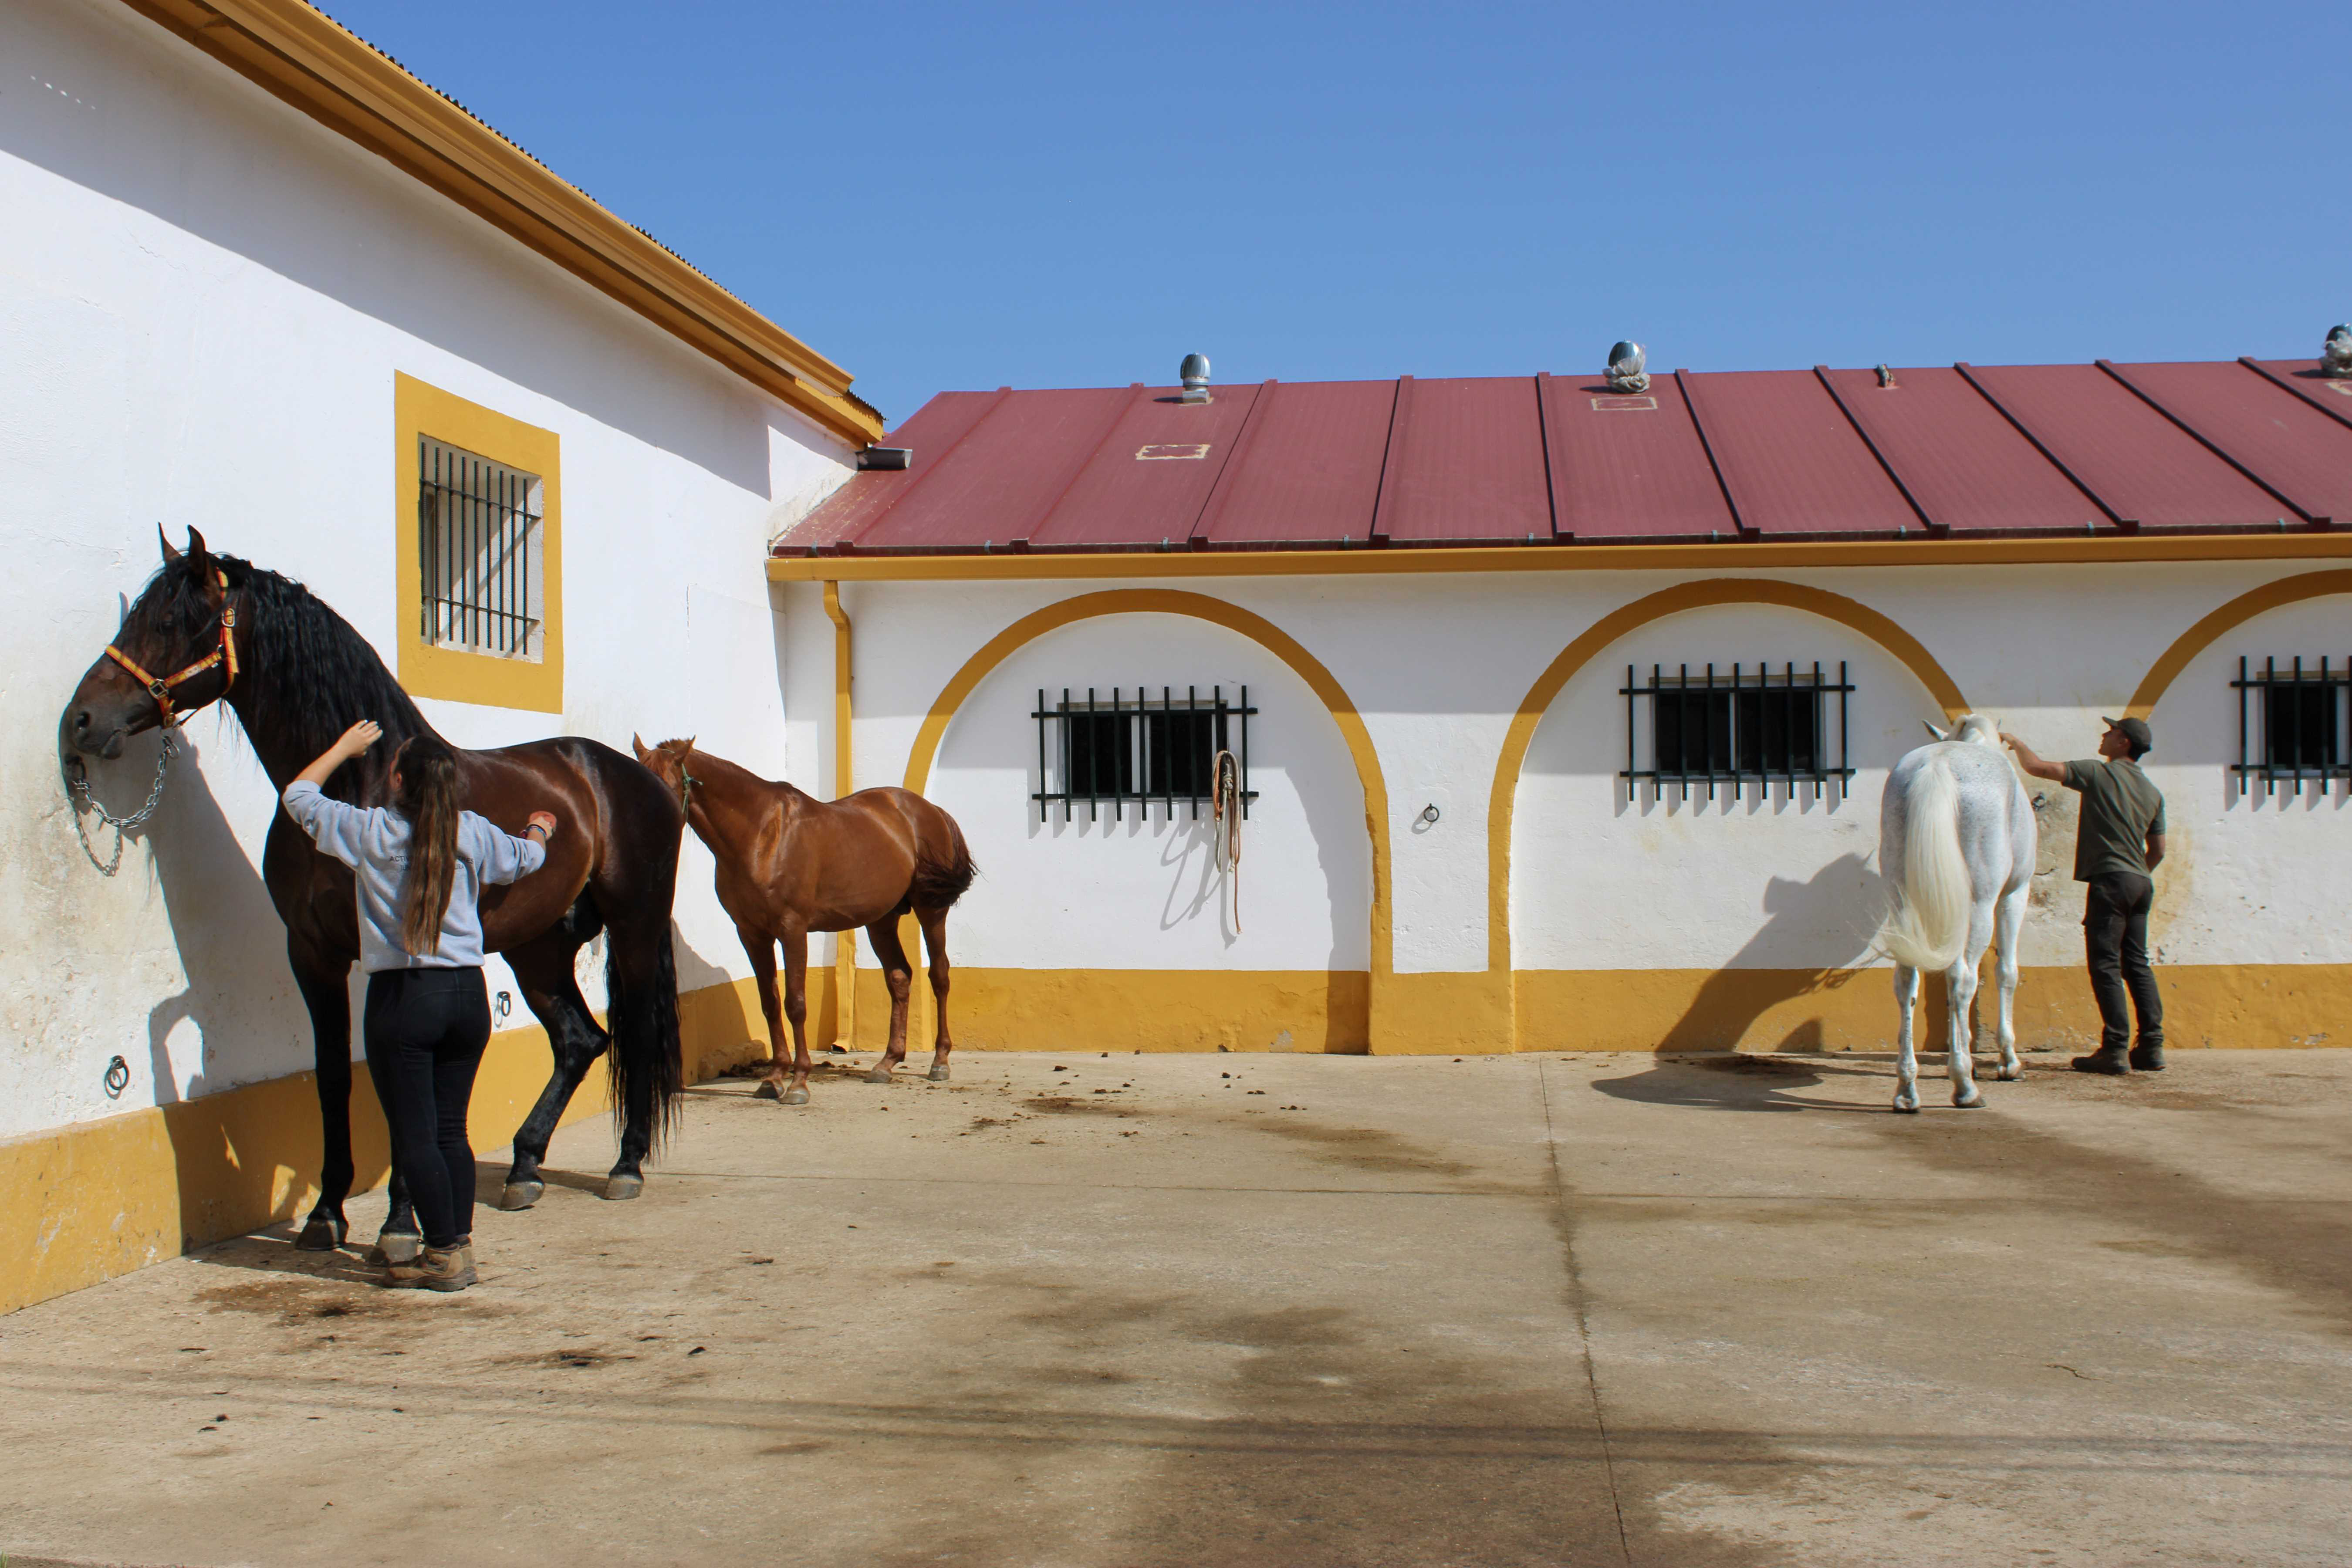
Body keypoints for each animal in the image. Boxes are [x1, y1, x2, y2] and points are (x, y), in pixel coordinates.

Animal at [62, 528, 686, 1255]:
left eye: (167, 622)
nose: (80, 721)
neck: (353, 785)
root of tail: (629, 775)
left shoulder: (392, 954)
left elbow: (395, 1079)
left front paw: (399, 1222)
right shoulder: (313, 953)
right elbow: (335, 1075)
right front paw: (327, 1212)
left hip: (635, 929)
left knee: (635, 1033)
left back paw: (626, 1165)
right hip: (536, 946)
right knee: (580, 1040)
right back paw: (525, 1167)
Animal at [631, 737, 974, 1104]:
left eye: (664, 789)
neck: (761, 835)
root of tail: (929, 810)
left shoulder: (793, 930)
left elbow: (795, 1003)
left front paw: (799, 1082)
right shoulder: (752, 934)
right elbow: (770, 1003)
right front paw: (774, 1078)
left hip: (931, 910)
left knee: (939, 976)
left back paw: (940, 1062)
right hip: (881, 920)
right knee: (899, 977)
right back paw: (886, 1063)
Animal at [1875, 714, 2037, 1113]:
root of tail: (1937, 766)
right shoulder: (2015, 894)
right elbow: (2007, 972)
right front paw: (2009, 1062)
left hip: (1901, 900)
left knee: (1906, 983)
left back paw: (1907, 1090)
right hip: (1979, 905)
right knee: (1962, 979)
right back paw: (1965, 1086)